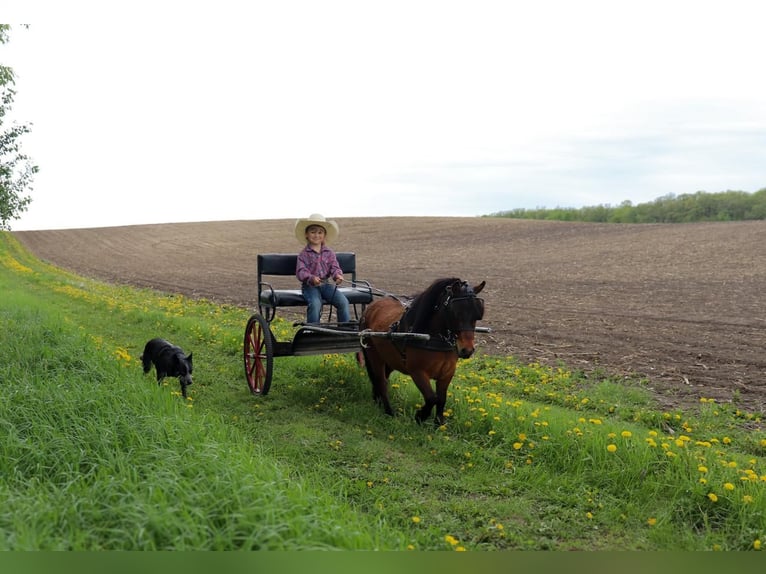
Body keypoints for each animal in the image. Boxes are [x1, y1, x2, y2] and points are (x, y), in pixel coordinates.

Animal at [360, 280, 486, 428]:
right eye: (456, 312)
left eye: (477, 314)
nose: (467, 350)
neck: (433, 338)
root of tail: (371, 307)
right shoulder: (418, 372)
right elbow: (432, 398)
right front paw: (421, 416)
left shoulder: (447, 373)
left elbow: (441, 399)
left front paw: (439, 423)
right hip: (374, 355)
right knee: (381, 381)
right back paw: (389, 411)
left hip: (389, 360)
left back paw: (378, 401)